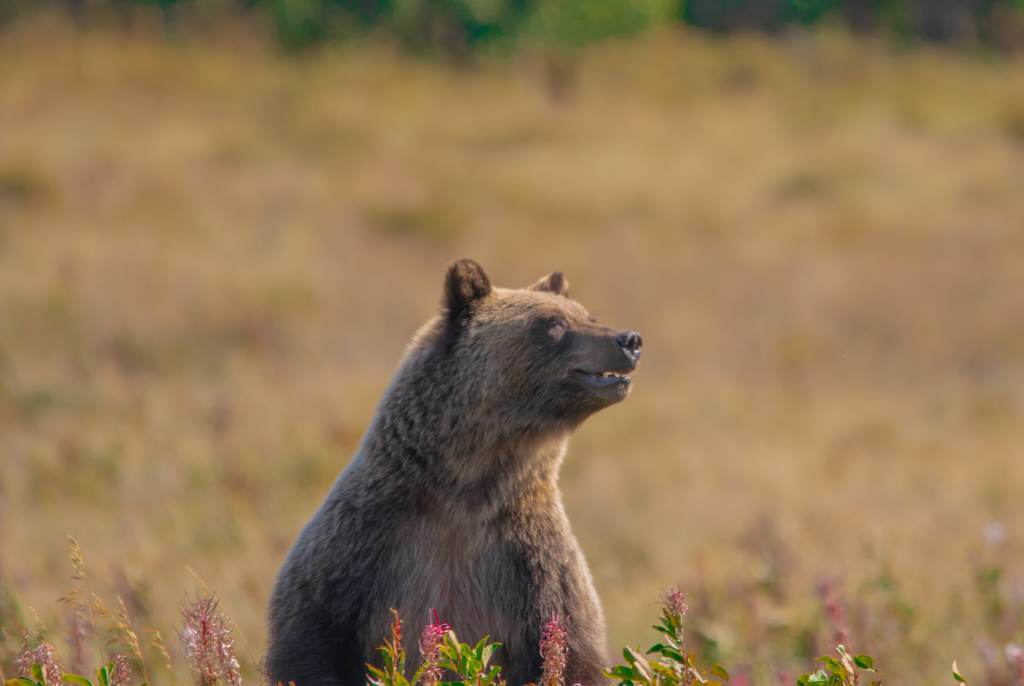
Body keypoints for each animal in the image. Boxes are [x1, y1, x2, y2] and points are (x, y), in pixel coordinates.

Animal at [266, 259, 643, 686]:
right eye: (553, 323)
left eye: (586, 315)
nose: (629, 340)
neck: (468, 488)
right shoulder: (361, 548)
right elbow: (312, 638)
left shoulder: (534, 566)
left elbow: (572, 653)